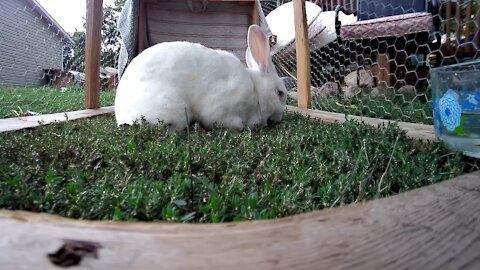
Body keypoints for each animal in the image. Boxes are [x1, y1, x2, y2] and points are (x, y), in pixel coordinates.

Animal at [114, 24, 286, 132]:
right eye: (280, 93)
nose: (280, 118)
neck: (256, 90)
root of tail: (121, 115)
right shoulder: (221, 108)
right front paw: (241, 127)